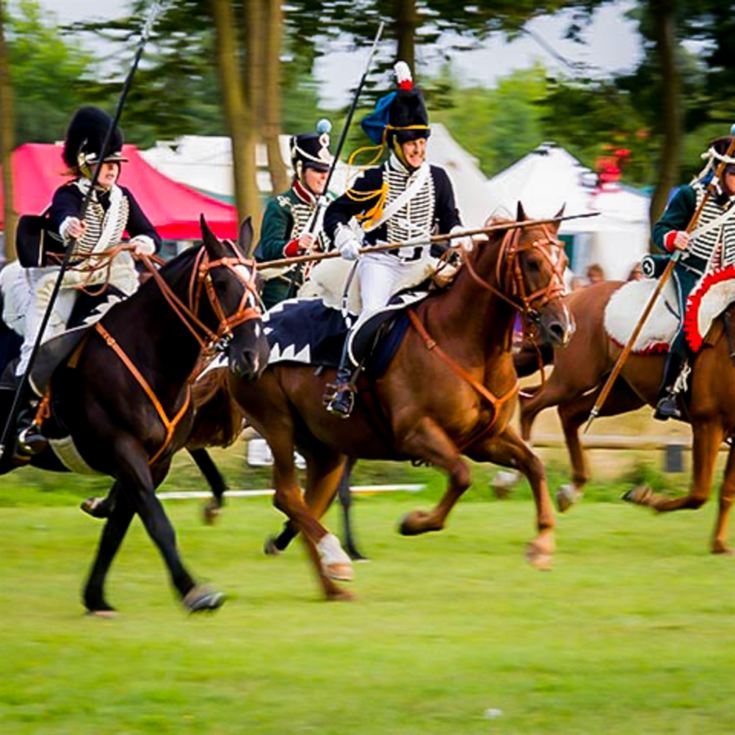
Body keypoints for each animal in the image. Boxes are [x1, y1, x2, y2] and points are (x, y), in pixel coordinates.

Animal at [0, 218, 270, 616]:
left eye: (259, 282)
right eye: (221, 283)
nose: (254, 355)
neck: (148, 355)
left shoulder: (154, 462)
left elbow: (118, 529)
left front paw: (95, 596)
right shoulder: (125, 453)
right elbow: (157, 522)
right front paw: (194, 591)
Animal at [230, 204, 576, 600]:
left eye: (563, 260)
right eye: (532, 261)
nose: (562, 328)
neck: (466, 340)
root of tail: (247, 333)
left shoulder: (484, 439)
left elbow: (534, 464)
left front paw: (542, 545)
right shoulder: (417, 434)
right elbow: (461, 476)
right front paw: (414, 522)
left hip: (325, 449)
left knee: (310, 505)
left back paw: (329, 576)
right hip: (278, 426)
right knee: (288, 496)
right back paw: (335, 559)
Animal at [516, 278, 735, 556]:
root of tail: (570, 299)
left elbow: (726, 490)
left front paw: (719, 544)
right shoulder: (708, 422)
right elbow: (699, 493)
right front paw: (642, 496)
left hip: (621, 392)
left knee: (568, 413)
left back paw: (571, 490)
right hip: (573, 379)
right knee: (530, 404)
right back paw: (511, 477)